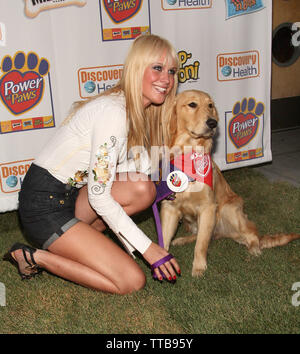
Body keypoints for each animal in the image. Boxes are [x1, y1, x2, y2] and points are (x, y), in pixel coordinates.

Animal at [161, 90, 298, 278]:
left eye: (210, 105)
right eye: (192, 104)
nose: (213, 122)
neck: (188, 157)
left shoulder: (209, 207)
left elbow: (201, 244)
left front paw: (198, 267)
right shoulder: (170, 207)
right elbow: (165, 239)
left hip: (228, 209)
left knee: (251, 234)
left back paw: (254, 248)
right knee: (206, 235)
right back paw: (182, 239)